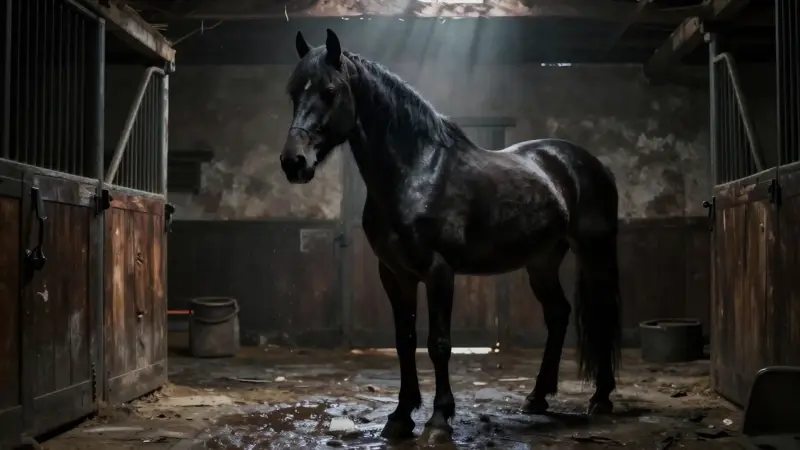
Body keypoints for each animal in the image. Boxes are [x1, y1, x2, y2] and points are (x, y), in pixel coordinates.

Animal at [279, 29, 622, 444]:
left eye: (329, 90)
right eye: (293, 92)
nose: (294, 163)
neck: (416, 171)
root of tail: (591, 164)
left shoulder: (438, 271)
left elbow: (439, 344)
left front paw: (439, 420)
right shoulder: (395, 274)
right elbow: (405, 342)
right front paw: (400, 416)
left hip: (594, 252)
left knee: (601, 314)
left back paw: (601, 399)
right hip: (542, 261)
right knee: (558, 315)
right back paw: (537, 397)